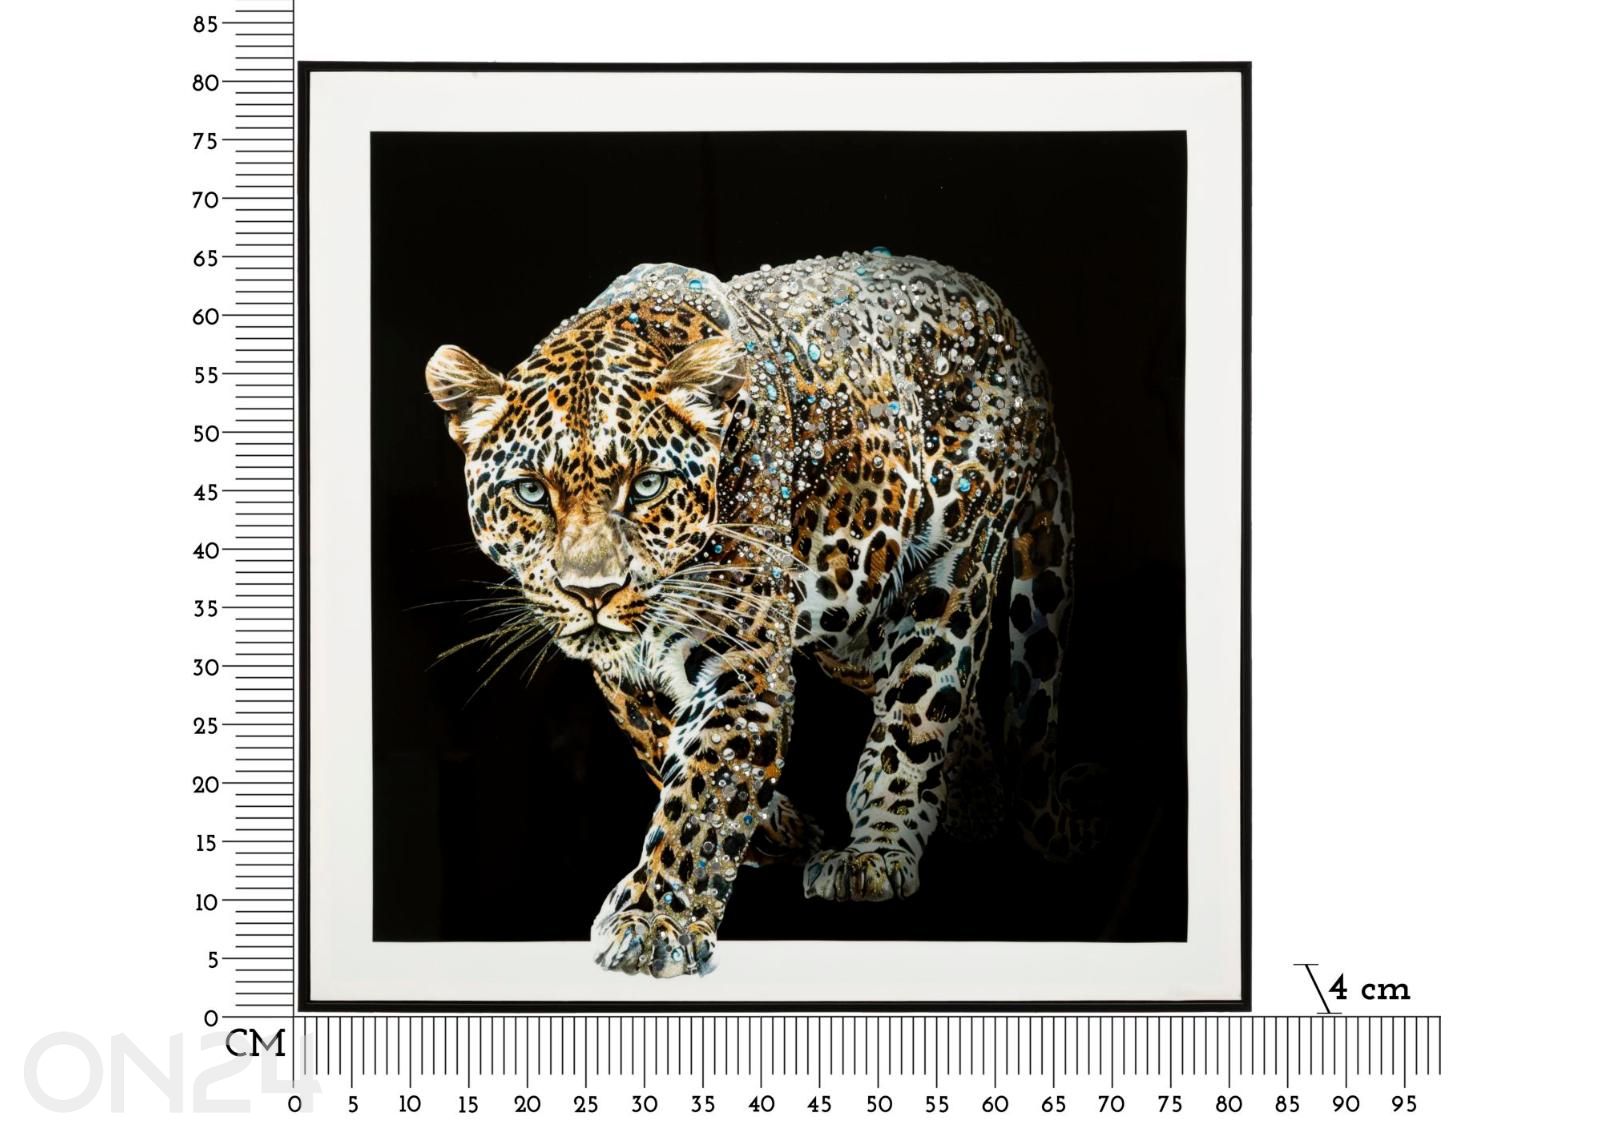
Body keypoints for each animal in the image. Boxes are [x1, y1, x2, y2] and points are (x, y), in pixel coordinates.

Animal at [425, 251, 1077, 978]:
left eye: (647, 485)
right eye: (532, 492)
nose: (593, 590)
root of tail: (1008, 320)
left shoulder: (745, 659)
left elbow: (703, 791)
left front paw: (655, 919)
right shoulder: (624, 673)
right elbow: (661, 742)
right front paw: (779, 829)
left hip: (953, 568)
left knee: (919, 705)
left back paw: (877, 849)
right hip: (851, 614)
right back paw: (974, 807)